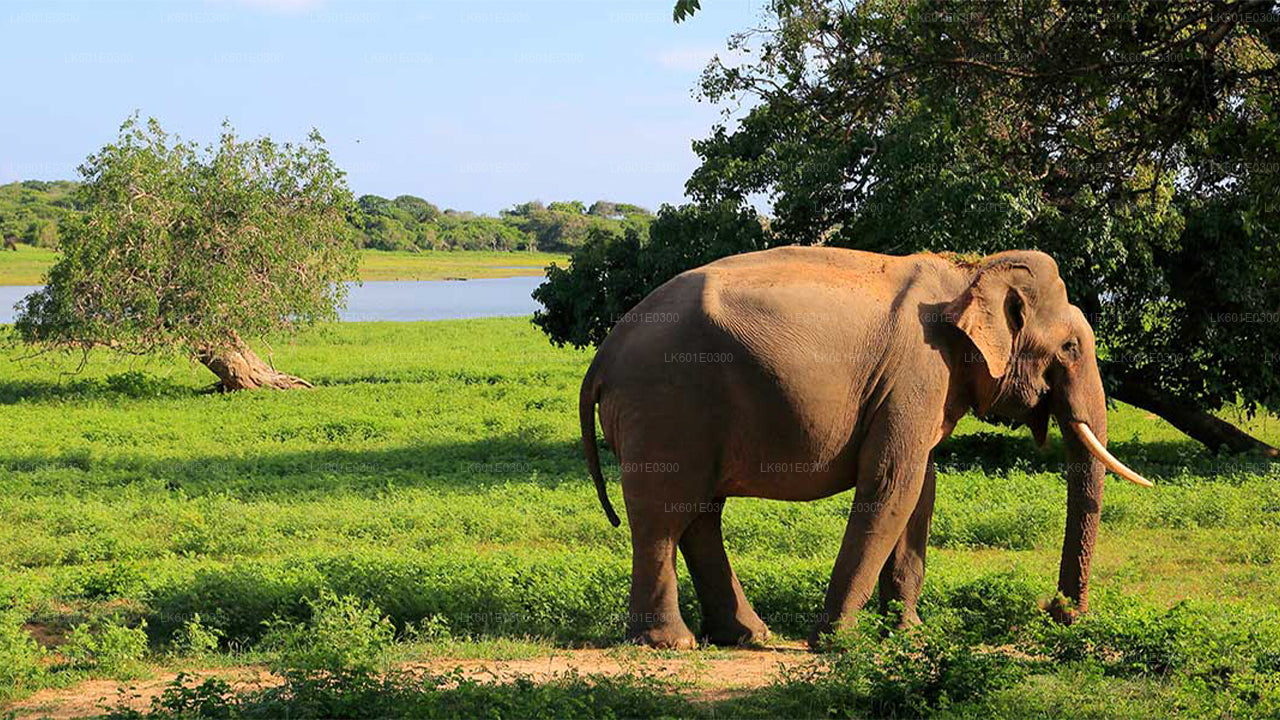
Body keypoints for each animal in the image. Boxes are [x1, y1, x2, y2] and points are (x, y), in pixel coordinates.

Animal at [581, 244, 1152, 645]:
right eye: (1071, 347)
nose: (1056, 612)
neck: (968, 273)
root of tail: (604, 355)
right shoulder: (918, 372)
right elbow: (892, 483)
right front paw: (839, 643)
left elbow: (920, 488)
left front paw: (907, 633)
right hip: (665, 405)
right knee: (663, 517)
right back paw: (671, 643)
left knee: (701, 514)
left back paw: (747, 636)